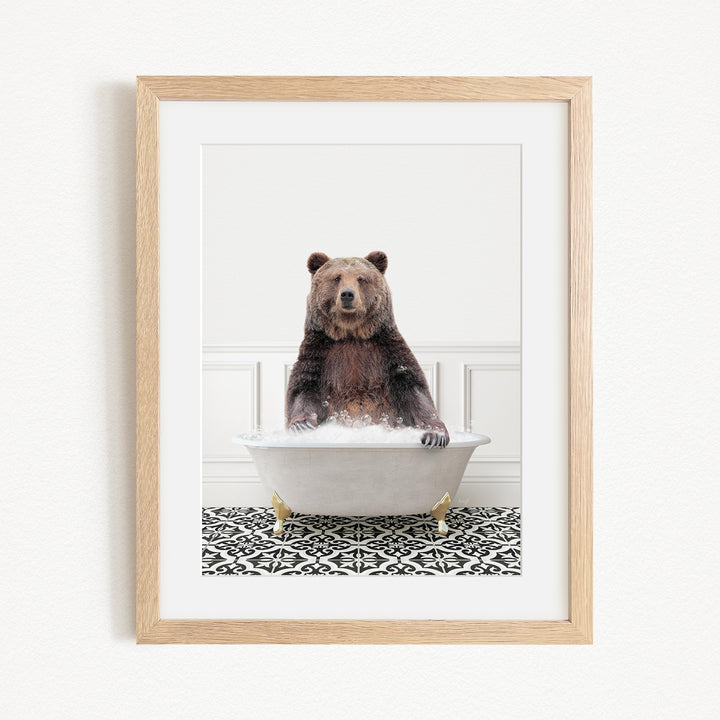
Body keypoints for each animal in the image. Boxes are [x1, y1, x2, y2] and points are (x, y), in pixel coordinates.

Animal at [285, 251, 450, 447]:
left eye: (361, 278)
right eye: (337, 277)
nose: (347, 294)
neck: (351, 333)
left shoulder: (387, 351)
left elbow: (414, 389)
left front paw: (435, 435)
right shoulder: (319, 352)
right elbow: (304, 388)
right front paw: (301, 425)